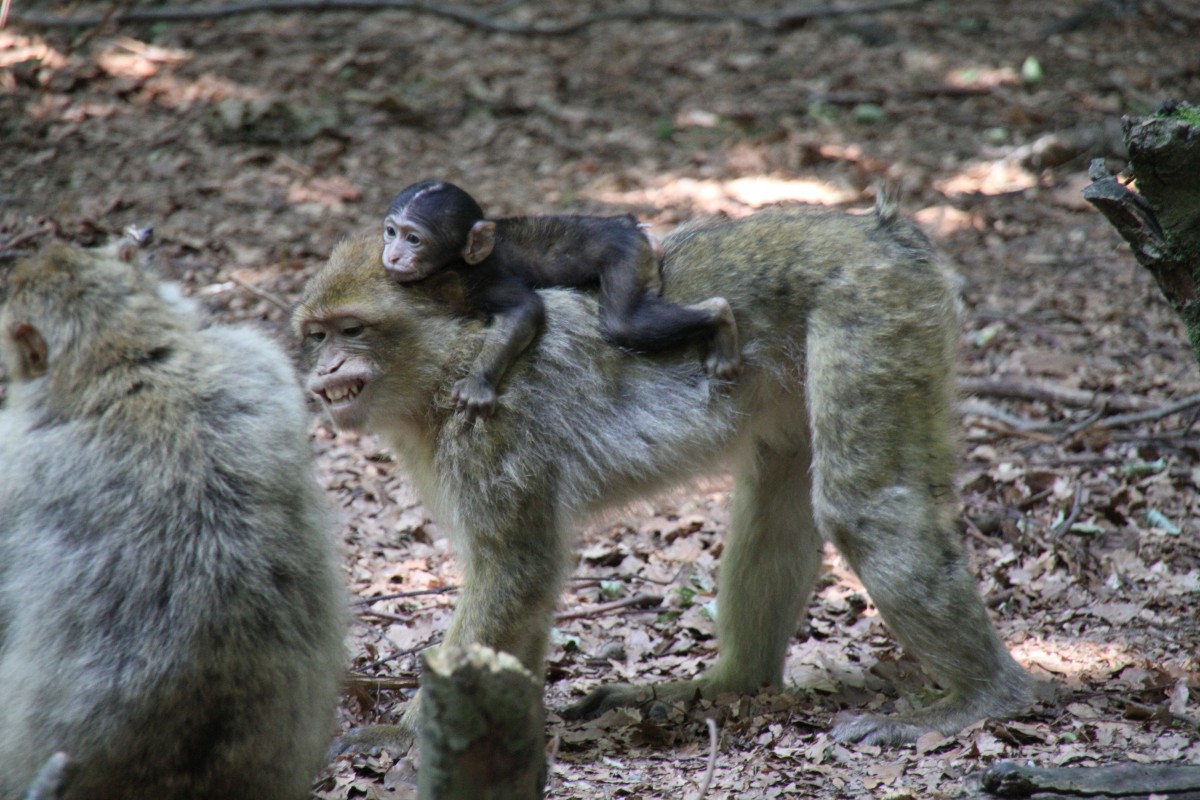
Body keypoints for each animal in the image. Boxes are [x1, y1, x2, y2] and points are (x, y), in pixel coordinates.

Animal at [292, 196, 1032, 753]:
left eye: (353, 331)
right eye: (319, 335)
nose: (325, 370)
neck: (449, 357)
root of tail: (882, 231)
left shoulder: (489, 425)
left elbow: (517, 568)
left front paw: (407, 735)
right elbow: (524, 585)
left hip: (875, 312)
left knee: (863, 503)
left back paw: (984, 696)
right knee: (776, 500)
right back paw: (733, 684)